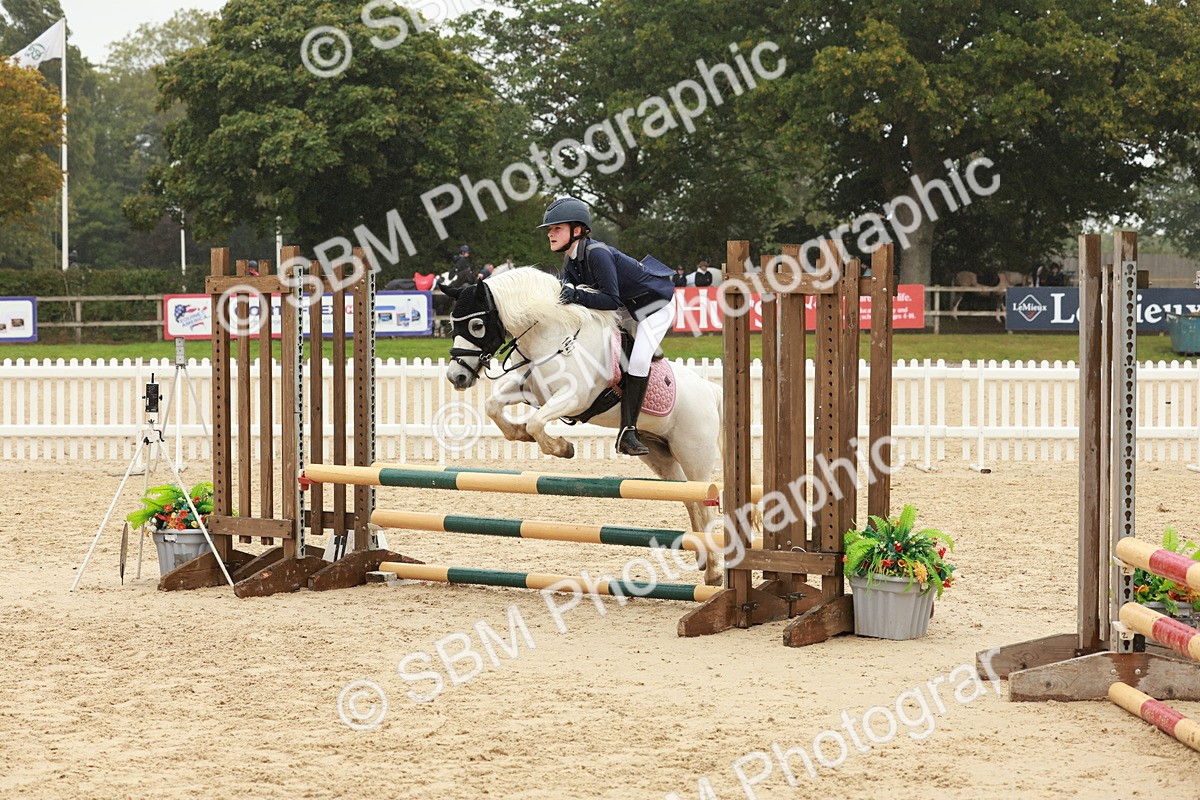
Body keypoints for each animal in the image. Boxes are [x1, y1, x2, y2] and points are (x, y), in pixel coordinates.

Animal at [440, 267, 725, 585]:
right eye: (452, 323)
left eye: (477, 325)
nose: (456, 377)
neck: (552, 339)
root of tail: (711, 390)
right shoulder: (530, 390)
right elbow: (494, 407)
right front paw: (521, 433)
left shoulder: (573, 398)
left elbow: (537, 422)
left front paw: (562, 448)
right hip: (660, 456)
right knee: (690, 500)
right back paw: (703, 559)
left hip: (695, 455)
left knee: (704, 502)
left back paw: (714, 571)